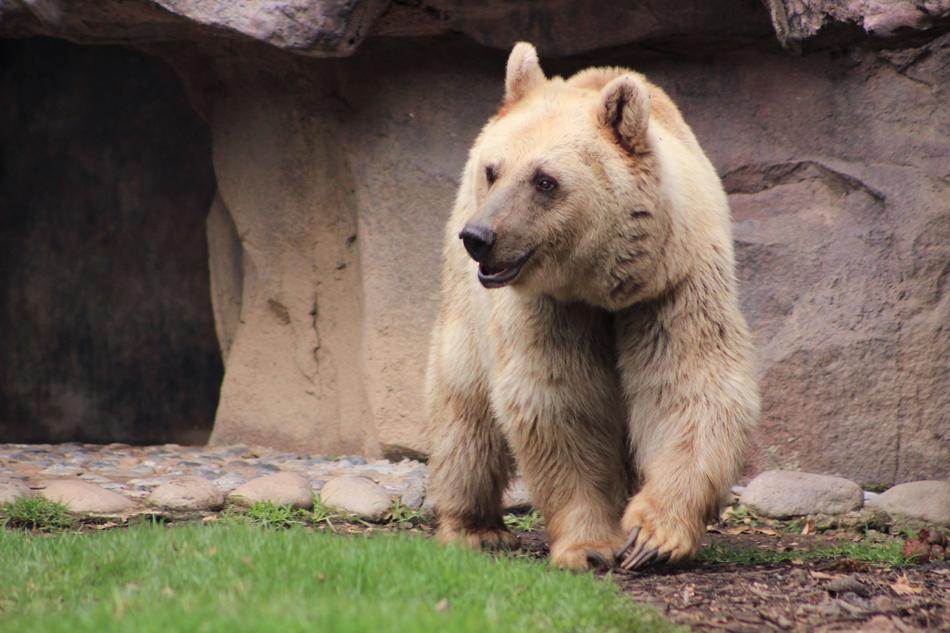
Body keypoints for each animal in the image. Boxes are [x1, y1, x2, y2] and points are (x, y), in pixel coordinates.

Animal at [425, 42, 759, 571]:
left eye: (545, 180)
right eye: (493, 170)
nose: (479, 238)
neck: (605, 284)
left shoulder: (674, 286)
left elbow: (690, 386)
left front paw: (652, 538)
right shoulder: (547, 306)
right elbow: (560, 401)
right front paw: (590, 546)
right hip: (466, 303)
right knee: (465, 405)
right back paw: (474, 527)